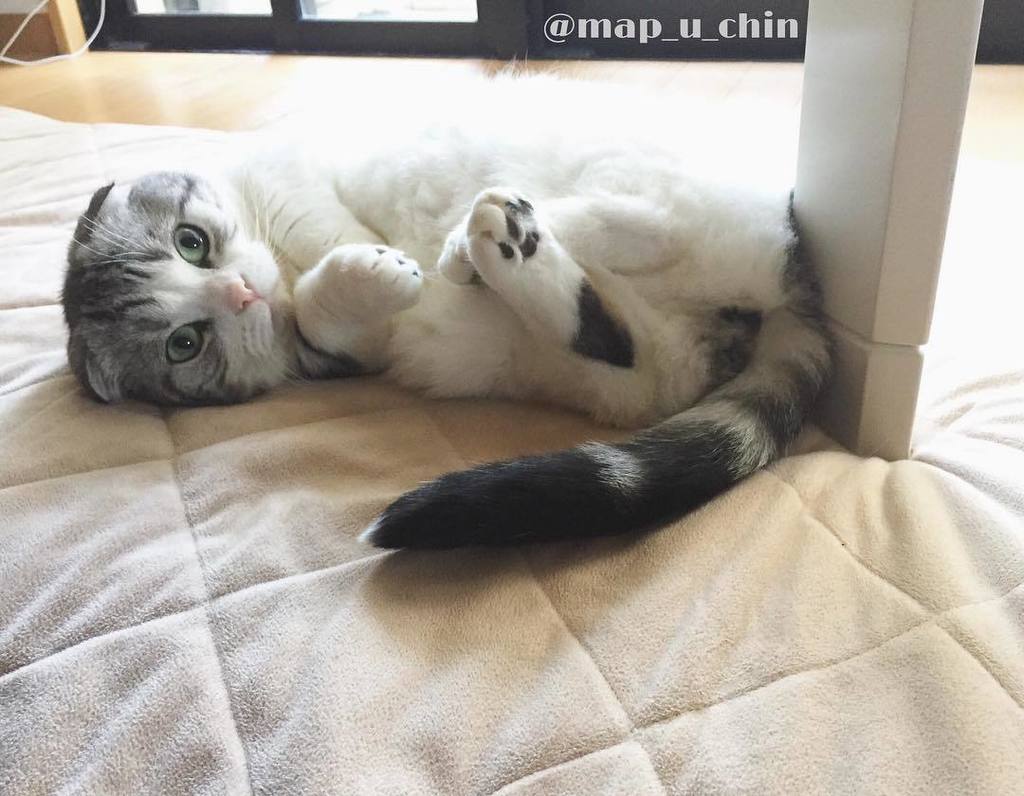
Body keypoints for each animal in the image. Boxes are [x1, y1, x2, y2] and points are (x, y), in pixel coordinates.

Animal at [61, 125, 833, 549]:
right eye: (184, 343)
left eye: (190, 243)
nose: (241, 293)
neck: (283, 265)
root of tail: (791, 281)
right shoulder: (348, 351)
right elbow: (322, 317)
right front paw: (361, 281)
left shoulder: (297, 185)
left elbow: (324, 260)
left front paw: (371, 266)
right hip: (621, 363)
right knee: (621, 340)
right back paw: (507, 251)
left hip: (633, 171)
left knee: (651, 218)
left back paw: (472, 240)